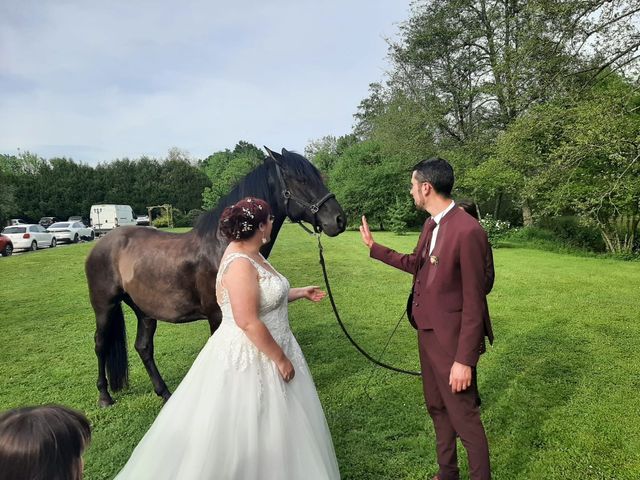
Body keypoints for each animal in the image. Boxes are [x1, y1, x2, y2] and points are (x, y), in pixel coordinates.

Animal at [86, 146, 344, 404]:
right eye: (301, 179)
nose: (339, 220)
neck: (224, 245)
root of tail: (102, 243)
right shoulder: (217, 316)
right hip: (105, 306)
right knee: (100, 344)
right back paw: (104, 396)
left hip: (145, 311)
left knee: (143, 347)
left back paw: (165, 393)